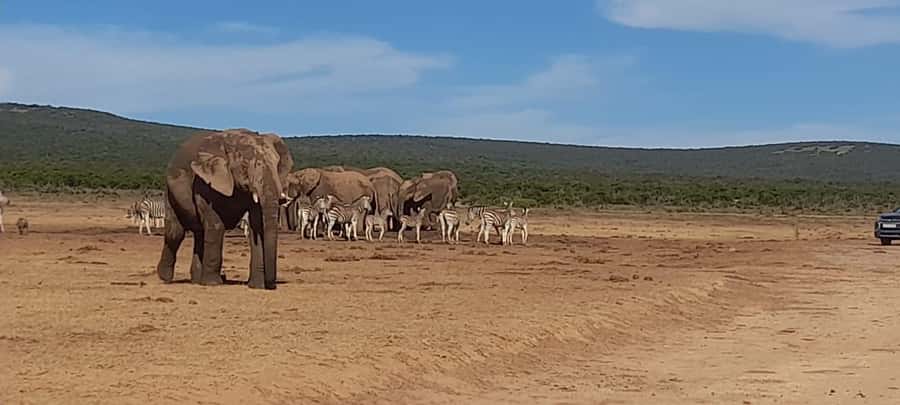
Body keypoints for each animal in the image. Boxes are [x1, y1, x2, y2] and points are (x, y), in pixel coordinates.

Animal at [155, 128, 293, 290]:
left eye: (277, 165)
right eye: (244, 165)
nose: (271, 286)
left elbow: (257, 226)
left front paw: (256, 286)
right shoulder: (205, 181)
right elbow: (216, 226)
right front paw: (213, 284)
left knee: (200, 233)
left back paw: (196, 280)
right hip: (169, 192)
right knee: (176, 233)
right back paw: (165, 278)